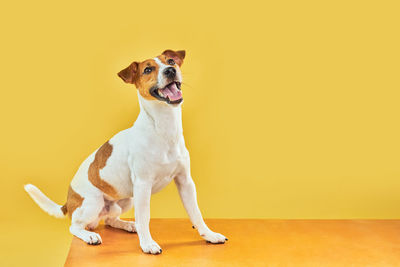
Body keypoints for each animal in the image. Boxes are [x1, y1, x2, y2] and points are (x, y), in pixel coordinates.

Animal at [25, 49, 228, 255]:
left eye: (171, 61)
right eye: (148, 69)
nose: (170, 70)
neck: (164, 128)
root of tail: (68, 202)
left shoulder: (185, 182)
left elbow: (196, 213)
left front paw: (209, 235)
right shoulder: (143, 185)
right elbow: (144, 217)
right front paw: (147, 244)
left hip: (126, 200)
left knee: (109, 220)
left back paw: (128, 225)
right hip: (94, 202)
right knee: (75, 226)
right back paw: (90, 235)